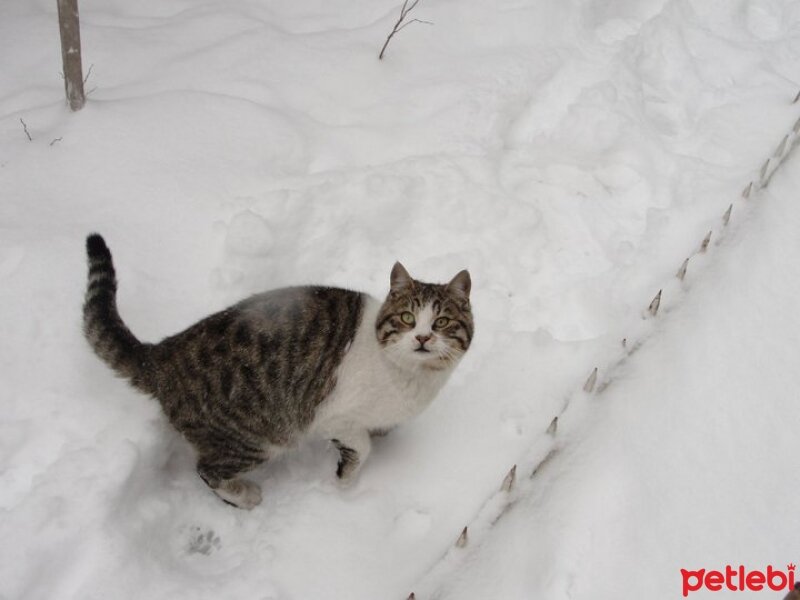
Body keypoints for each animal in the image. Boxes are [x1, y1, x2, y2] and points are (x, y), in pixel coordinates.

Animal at [86, 233, 476, 506]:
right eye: (408, 318)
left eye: (441, 322)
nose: (423, 337)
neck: (411, 376)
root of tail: (164, 352)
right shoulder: (332, 416)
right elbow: (360, 447)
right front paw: (344, 477)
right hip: (254, 437)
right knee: (207, 471)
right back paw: (243, 496)